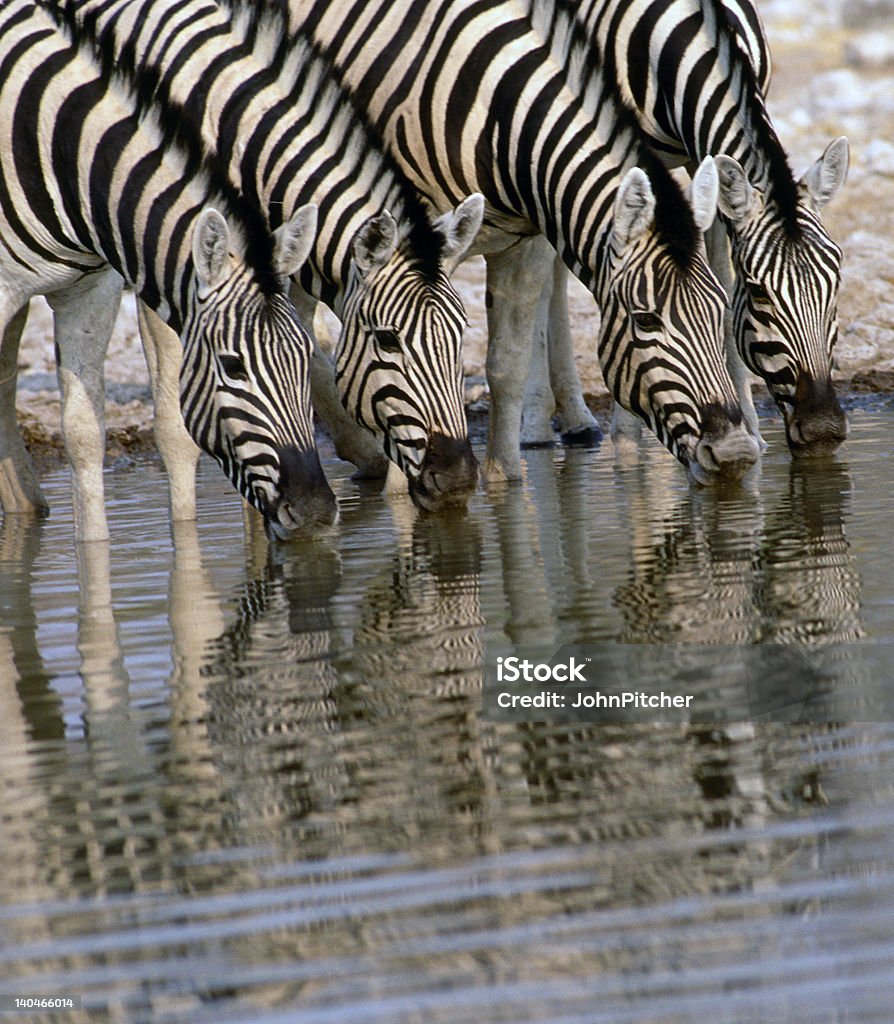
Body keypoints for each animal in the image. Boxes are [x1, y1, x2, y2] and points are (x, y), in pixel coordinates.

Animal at [0, 0, 337, 544]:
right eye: (233, 367)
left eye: (306, 357)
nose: (314, 511)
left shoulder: (89, 290)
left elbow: (84, 434)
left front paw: (93, 549)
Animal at [292, 0, 761, 485]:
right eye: (646, 320)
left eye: (721, 309)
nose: (734, 454)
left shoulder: (530, 227)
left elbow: (507, 361)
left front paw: (506, 483)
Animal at [573, 0, 852, 454]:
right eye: (758, 292)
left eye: (836, 283)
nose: (824, 429)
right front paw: (627, 435)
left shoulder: (702, 154)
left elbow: (718, 272)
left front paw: (749, 427)